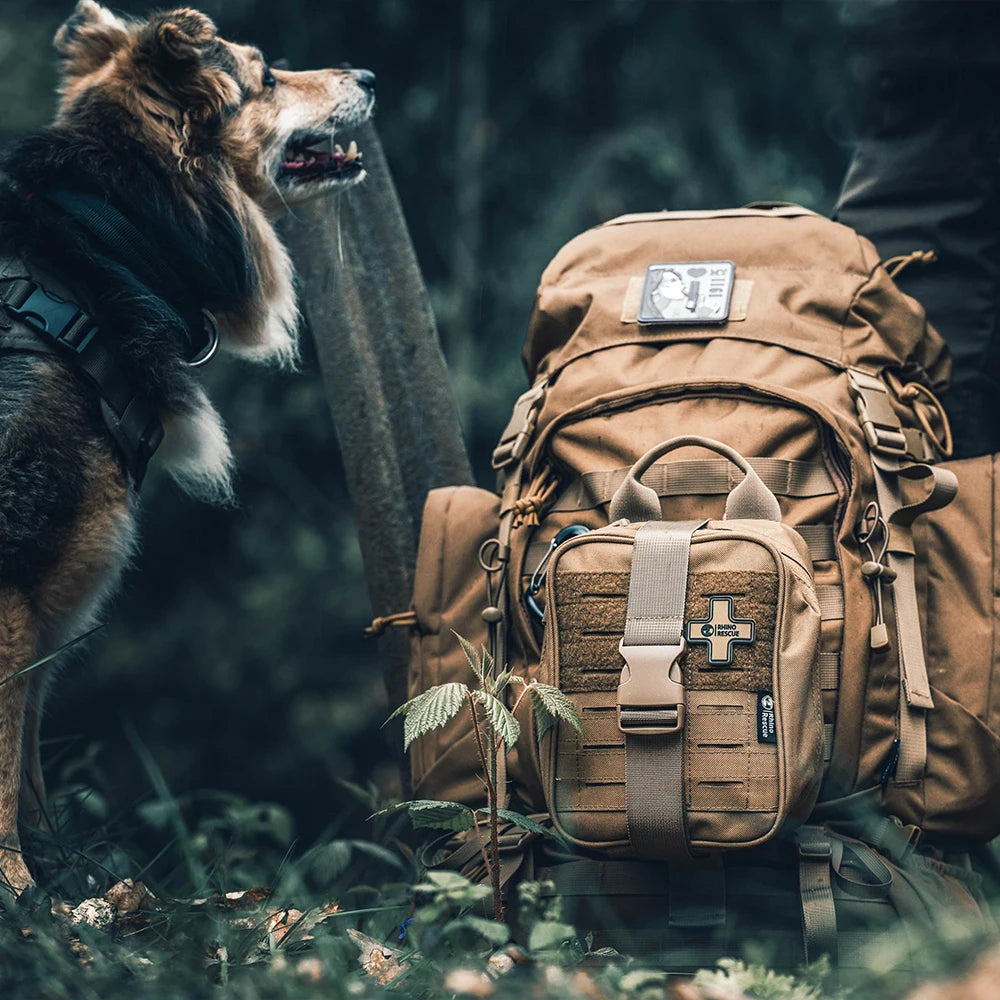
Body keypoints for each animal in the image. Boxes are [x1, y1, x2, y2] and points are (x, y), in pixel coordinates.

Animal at [0, 0, 374, 892]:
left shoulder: (51, 614)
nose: (371, 75)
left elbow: (28, 776)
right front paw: (20, 890)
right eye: (266, 75)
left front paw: (57, 897)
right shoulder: (20, 591)